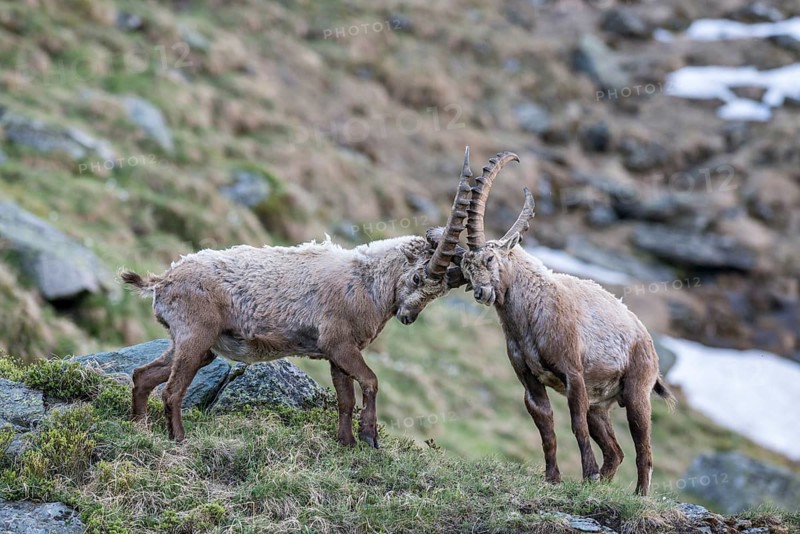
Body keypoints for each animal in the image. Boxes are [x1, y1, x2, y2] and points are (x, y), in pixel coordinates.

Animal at [121, 148, 477, 447]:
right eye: (417, 276)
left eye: (437, 293)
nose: (408, 317)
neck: (367, 282)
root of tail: (162, 281)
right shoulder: (340, 343)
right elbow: (371, 381)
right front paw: (369, 437)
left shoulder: (336, 352)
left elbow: (345, 398)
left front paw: (346, 442)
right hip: (196, 335)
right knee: (171, 390)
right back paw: (178, 438)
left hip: (195, 344)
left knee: (143, 376)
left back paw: (139, 427)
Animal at [458, 159, 676, 496]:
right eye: (466, 268)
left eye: (491, 258)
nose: (481, 292)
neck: (530, 314)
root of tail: (647, 339)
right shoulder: (530, 381)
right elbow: (546, 427)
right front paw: (553, 477)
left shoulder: (573, 374)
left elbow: (576, 425)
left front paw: (588, 473)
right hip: (600, 405)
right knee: (615, 450)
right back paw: (600, 484)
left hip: (637, 392)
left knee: (644, 451)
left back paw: (638, 495)